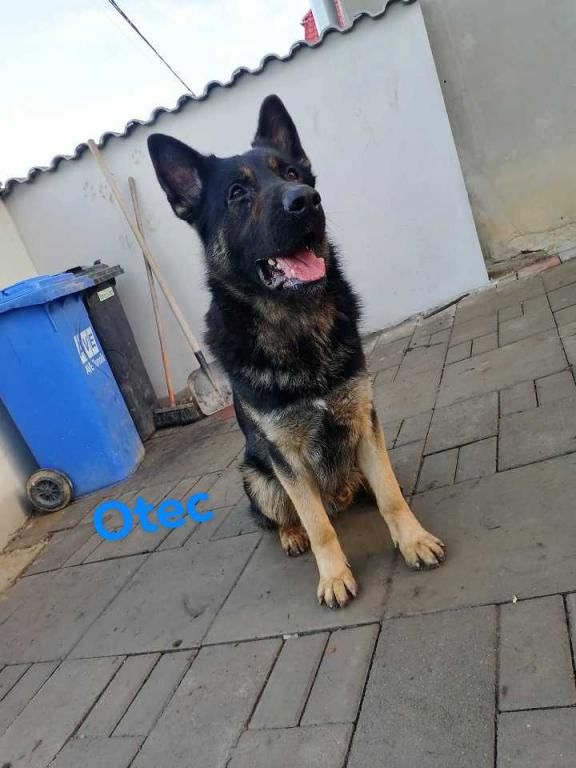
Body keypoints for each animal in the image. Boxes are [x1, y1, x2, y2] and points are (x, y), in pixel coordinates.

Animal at [147, 95, 445, 608]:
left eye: (291, 173)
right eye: (237, 193)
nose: (305, 199)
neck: (297, 326)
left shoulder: (364, 422)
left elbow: (389, 494)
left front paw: (412, 539)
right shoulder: (284, 457)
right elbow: (317, 524)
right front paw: (333, 575)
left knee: (369, 485)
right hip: (256, 474)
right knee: (282, 516)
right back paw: (292, 535)